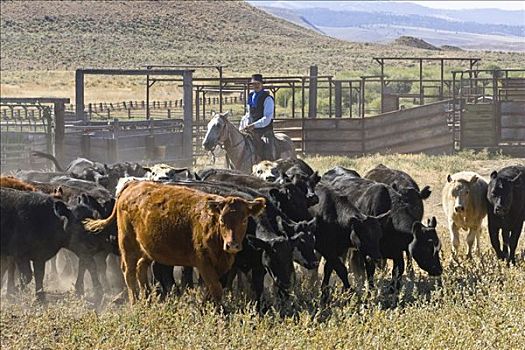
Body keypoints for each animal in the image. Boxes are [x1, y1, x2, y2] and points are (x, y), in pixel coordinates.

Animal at [86, 180, 266, 304]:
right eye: (222, 220)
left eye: (244, 220)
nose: (232, 245)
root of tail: (133, 184)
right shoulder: (203, 263)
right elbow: (215, 288)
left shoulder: (222, 265)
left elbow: (214, 288)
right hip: (128, 244)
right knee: (129, 272)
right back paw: (135, 302)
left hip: (147, 249)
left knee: (140, 268)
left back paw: (147, 299)